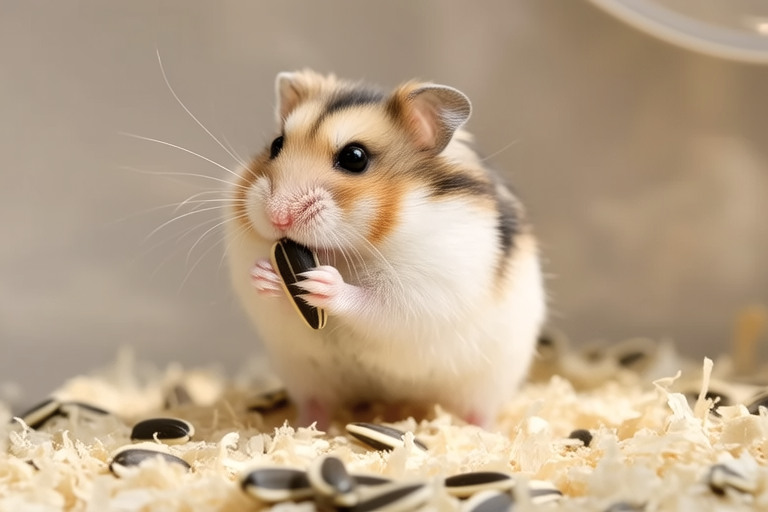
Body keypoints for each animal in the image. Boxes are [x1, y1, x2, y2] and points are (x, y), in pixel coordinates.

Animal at [224, 70, 546, 429]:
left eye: (354, 158)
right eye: (276, 145)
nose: (278, 216)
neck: (342, 251)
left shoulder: (425, 290)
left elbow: (377, 303)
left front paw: (321, 282)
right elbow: (274, 298)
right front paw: (264, 274)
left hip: (488, 383)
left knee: (479, 412)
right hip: (306, 379)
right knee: (316, 405)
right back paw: (303, 426)